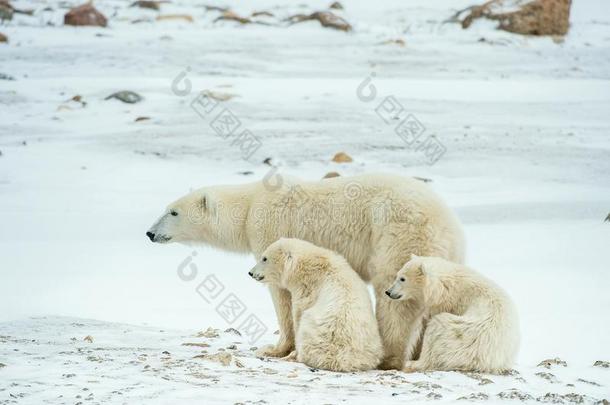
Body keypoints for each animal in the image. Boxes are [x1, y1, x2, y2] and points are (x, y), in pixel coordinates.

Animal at [148, 172, 466, 368]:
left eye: (173, 212)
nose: (150, 233)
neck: (249, 206)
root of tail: (445, 220)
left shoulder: (270, 229)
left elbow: (281, 294)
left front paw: (275, 348)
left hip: (398, 233)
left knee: (396, 294)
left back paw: (388, 355)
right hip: (448, 252)